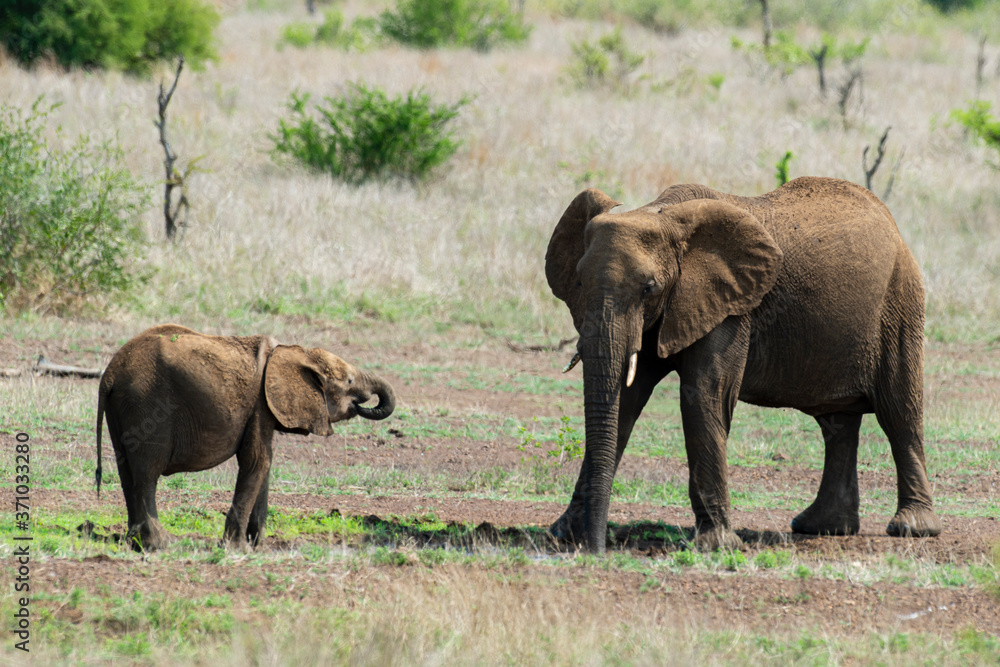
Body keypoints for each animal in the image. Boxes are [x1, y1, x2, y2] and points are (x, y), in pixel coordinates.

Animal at [548, 176, 944, 552]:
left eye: (649, 287)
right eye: (579, 281)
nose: (597, 549)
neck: (662, 215)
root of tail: (891, 223)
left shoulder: (732, 308)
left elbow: (705, 396)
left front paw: (716, 546)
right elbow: (625, 403)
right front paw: (563, 534)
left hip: (900, 302)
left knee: (899, 412)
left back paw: (912, 528)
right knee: (838, 424)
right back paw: (822, 527)